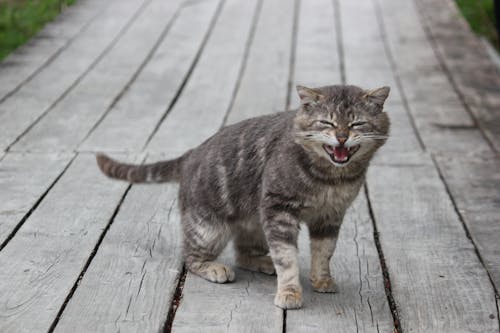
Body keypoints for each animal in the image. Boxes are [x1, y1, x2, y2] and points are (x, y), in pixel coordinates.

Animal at [95, 84, 388, 308]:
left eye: (357, 123)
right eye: (326, 122)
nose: (342, 138)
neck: (331, 179)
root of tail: (191, 153)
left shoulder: (330, 216)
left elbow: (324, 252)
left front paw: (322, 279)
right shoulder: (278, 209)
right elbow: (287, 257)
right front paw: (289, 292)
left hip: (254, 222)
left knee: (242, 253)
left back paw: (262, 262)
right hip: (209, 228)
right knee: (191, 257)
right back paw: (215, 267)